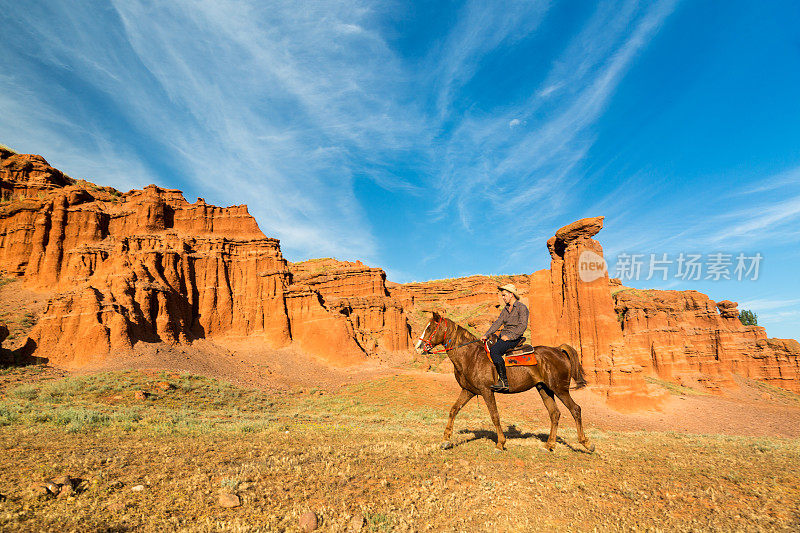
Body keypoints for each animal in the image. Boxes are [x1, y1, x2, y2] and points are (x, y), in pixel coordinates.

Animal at [418, 312, 592, 454]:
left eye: (430, 328)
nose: (418, 347)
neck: (471, 356)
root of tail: (558, 350)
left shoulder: (487, 391)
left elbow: (494, 416)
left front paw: (500, 444)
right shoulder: (468, 391)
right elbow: (453, 410)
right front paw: (445, 440)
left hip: (560, 389)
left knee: (575, 409)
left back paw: (587, 444)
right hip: (544, 389)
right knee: (555, 414)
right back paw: (549, 445)